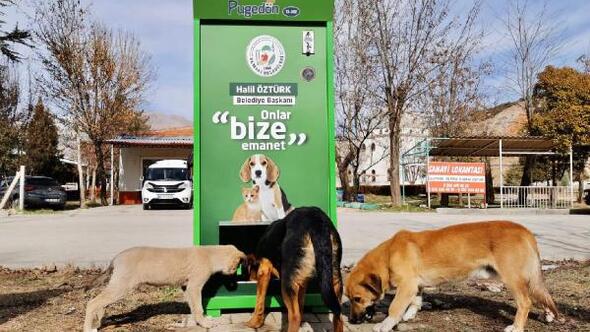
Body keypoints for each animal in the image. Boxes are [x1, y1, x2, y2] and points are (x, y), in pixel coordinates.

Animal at [83, 244, 245, 332]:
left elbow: (193, 307)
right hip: (121, 286)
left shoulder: (186, 287)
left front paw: (199, 321)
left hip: (117, 286)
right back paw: (88, 327)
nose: (233, 272)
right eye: (237, 264)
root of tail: (117, 257)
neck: (211, 255)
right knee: (93, 303)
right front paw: (205, 323)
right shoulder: (194, 287)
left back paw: (97, 323)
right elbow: (198, 307)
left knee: (100, 304)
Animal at [344, 220, 560, 332]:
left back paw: (516, 327)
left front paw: (386, 324)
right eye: (350, 299)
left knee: (526, 302)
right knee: (538, 297)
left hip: (512, 279)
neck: (388, 254)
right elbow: (415, 302)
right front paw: (409, 315)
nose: (352, 321)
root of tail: (524, 229)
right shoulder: (415, 286)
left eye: (357, 299)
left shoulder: (406, 285)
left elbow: (394, 307)